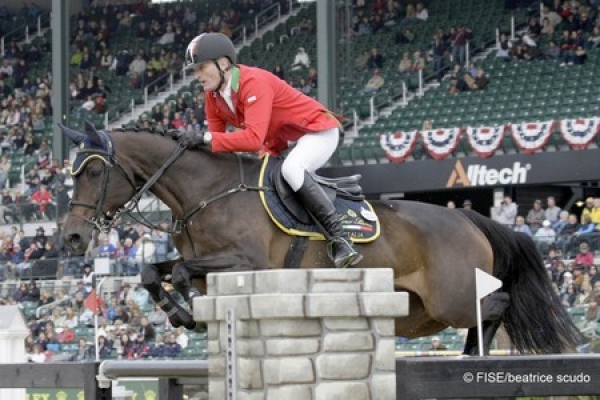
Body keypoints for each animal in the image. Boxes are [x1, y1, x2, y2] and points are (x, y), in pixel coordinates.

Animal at [59, 122, 580, 356]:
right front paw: (178, 312)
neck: (207, 192)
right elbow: (153, 270)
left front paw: (188, 312)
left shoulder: (247, 263)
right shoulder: (206, 260)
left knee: (496, 303)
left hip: (449, 297)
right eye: (72, 173)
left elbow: (184, 273)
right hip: (419, 311)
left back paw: (474, 354)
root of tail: (473, 220)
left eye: (94, 172)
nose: (72, 238)